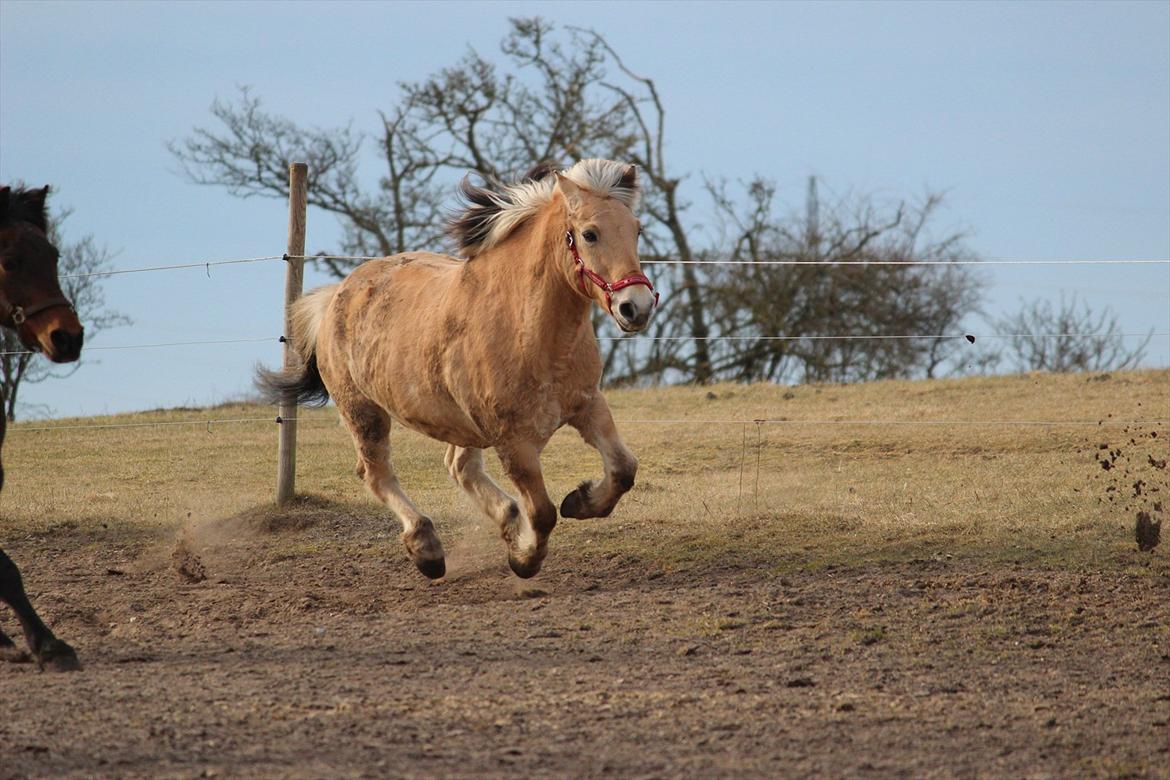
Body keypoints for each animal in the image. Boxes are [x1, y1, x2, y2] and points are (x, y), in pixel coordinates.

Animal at [260, 160, 659, 580]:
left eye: (636, 229)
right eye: (589, 234)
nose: (637, 306)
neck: (529, 332)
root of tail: (337, 295)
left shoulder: (587, 406)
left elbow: (623, 469)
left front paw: (579, 502)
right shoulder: (513, 441)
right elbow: (543, 512)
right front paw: (523, 559)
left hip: (462, 424)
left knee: (458, 467)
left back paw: (504, 521)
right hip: (364, 412)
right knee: (377, 473)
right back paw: (427, 549)